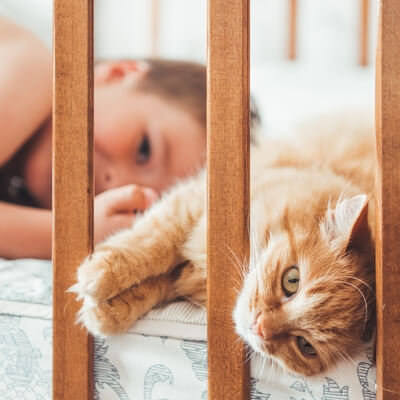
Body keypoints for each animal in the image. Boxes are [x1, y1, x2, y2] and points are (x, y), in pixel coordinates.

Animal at [71, 114, 376, 376]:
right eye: (292, 280)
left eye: (305, 346)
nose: (260, 326)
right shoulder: (193, 203)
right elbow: (154, 242)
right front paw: (100, 275)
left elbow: (158, 285)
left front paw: (107, 311)